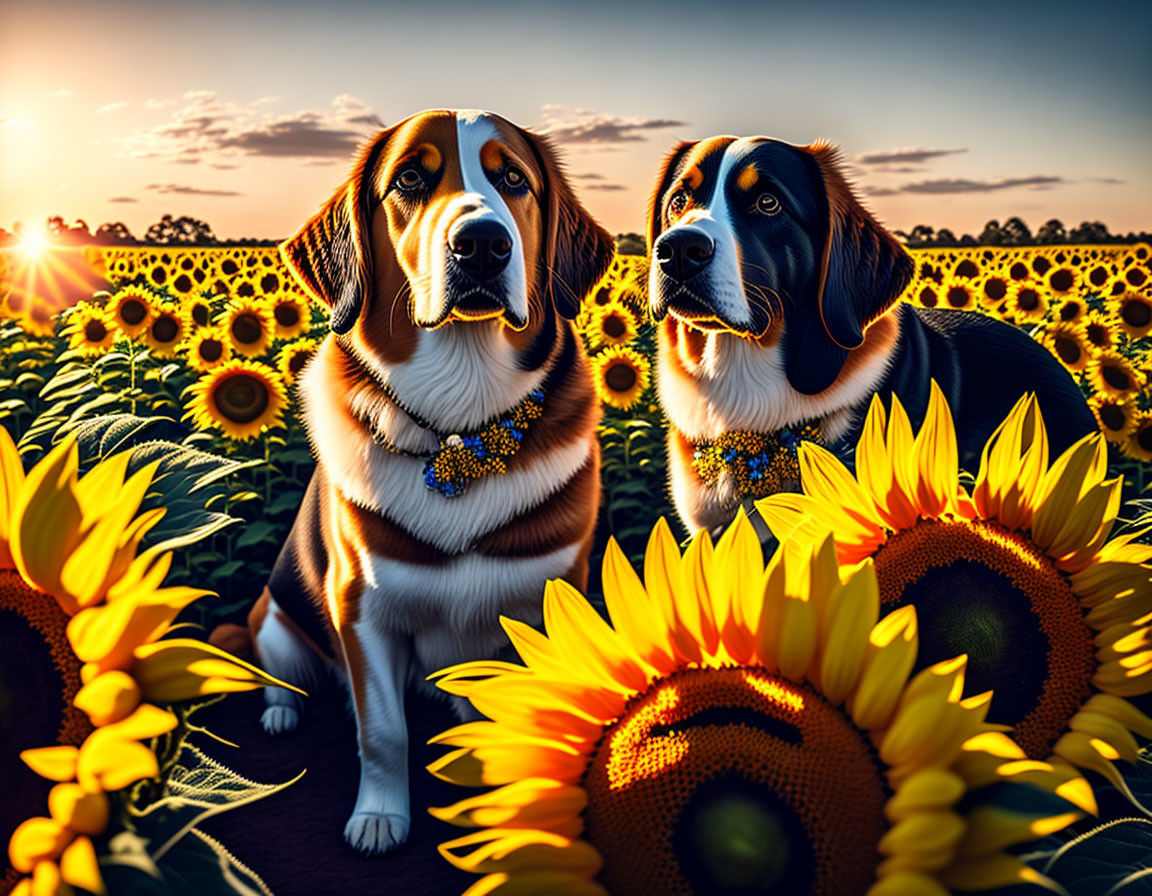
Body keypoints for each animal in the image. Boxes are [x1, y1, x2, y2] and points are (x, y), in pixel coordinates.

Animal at [239, 109, 617, 852]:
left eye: (513, 179)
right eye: (410, 178)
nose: (482, 246)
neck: (459, 426)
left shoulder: (554, 595)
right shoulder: (361, 609)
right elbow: (383, 732)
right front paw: (381, 817)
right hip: (273, 621)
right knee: (283, 677)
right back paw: (280, 712)